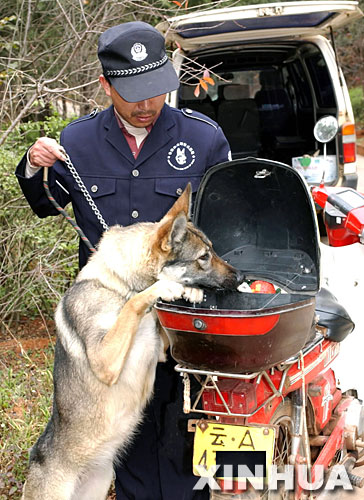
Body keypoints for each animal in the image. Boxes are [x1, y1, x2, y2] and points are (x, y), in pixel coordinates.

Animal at [21, 185, 240, 500]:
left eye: (212, 251)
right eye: (203, 257)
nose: (240, 277)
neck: (118, 285)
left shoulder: (160, 350)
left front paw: (189, 293)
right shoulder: (105, 359)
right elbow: (134, 303)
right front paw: (167, 287)